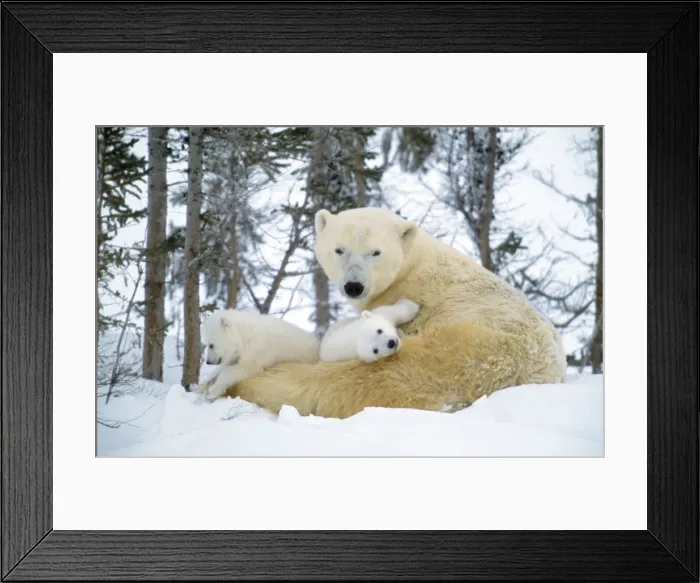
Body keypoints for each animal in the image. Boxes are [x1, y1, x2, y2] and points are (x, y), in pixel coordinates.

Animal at [191, 309, 320, 400]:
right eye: (207, 344)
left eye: (211, 345)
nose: (208, 361)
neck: (246, 335)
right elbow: (225, 366)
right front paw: (201, 385)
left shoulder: (257, 350)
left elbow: (241, 368)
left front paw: (212, 391)